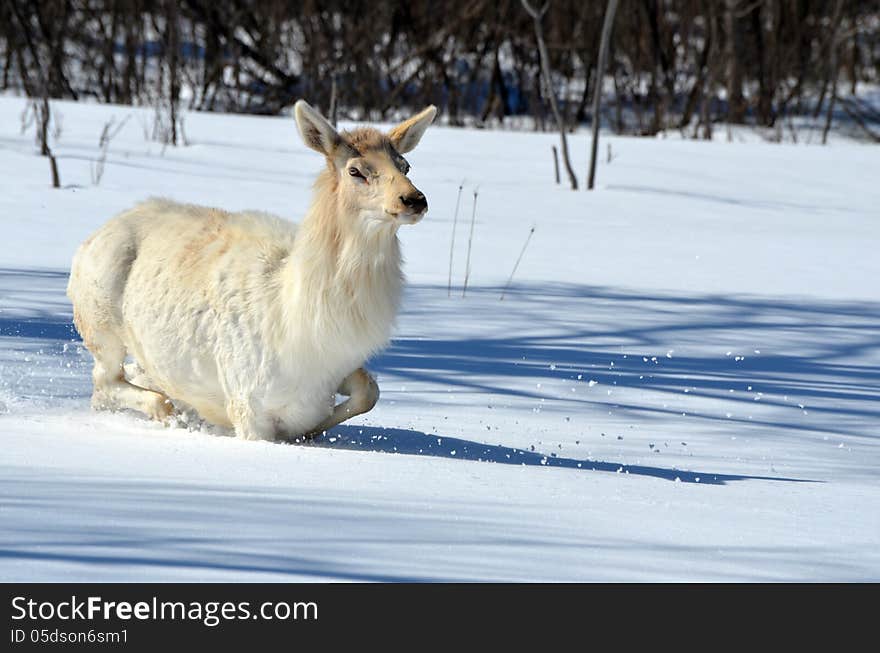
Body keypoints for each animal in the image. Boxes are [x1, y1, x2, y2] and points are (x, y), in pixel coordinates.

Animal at [67, 99, 438, 440]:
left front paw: (309, 430)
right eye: (355, 170)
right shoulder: (247, 401)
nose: (414, 199)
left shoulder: (335, 369)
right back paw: (168, 412)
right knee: (105, 381)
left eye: (405, 165)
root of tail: (88, 241)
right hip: (98, 322)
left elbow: (368, 392)